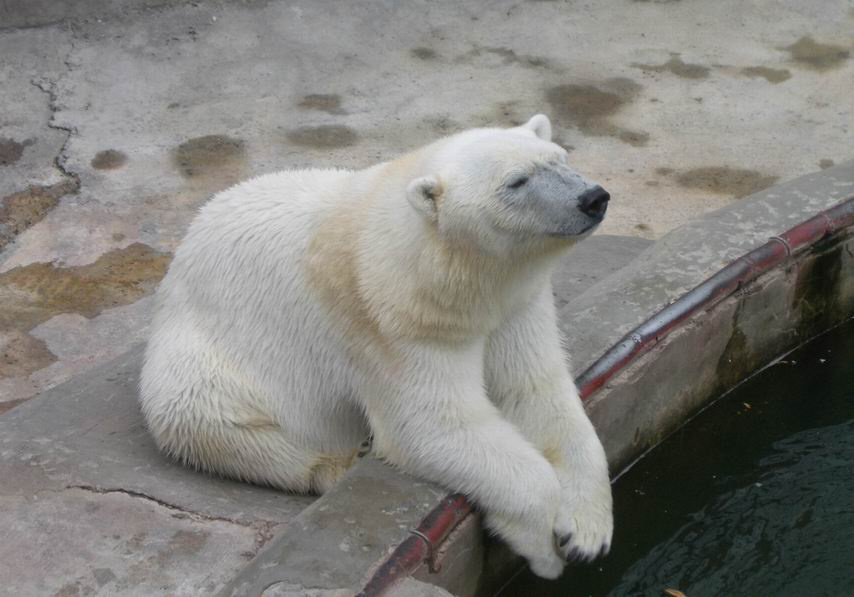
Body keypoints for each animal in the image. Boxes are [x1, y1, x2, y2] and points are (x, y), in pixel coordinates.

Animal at [139, 114, 613, 578]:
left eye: (559, 157)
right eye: (516, 181)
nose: (593, 197)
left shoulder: (515, 305)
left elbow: (536, 393)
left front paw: (586, 530)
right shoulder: (396, 320)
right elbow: (434, 425)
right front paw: (546, 546)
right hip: (201, 352)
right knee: (203, 415)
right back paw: (339, 462)